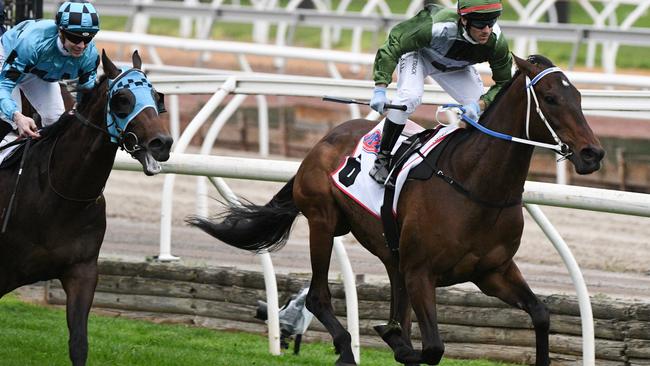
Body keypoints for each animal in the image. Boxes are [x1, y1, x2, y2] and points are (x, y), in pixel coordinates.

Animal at [0, 50, 172, 364]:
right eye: (123, 99)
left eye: (156, 96)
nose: (162, 143)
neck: (60, 195)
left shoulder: (83, 270)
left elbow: (79, 343)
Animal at [186, 55, 604, 366]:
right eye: (550, 98)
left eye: (580, 98)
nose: (592, 153)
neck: (474, 184)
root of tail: (322, 141)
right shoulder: (422, 273)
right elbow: (432, 347)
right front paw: (397, 343)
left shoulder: (493, 272)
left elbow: (541, 314)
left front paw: (395, 339)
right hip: (323, 222)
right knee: (318, 296)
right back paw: (347, 348)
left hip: (390, 253)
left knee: (392, 303)